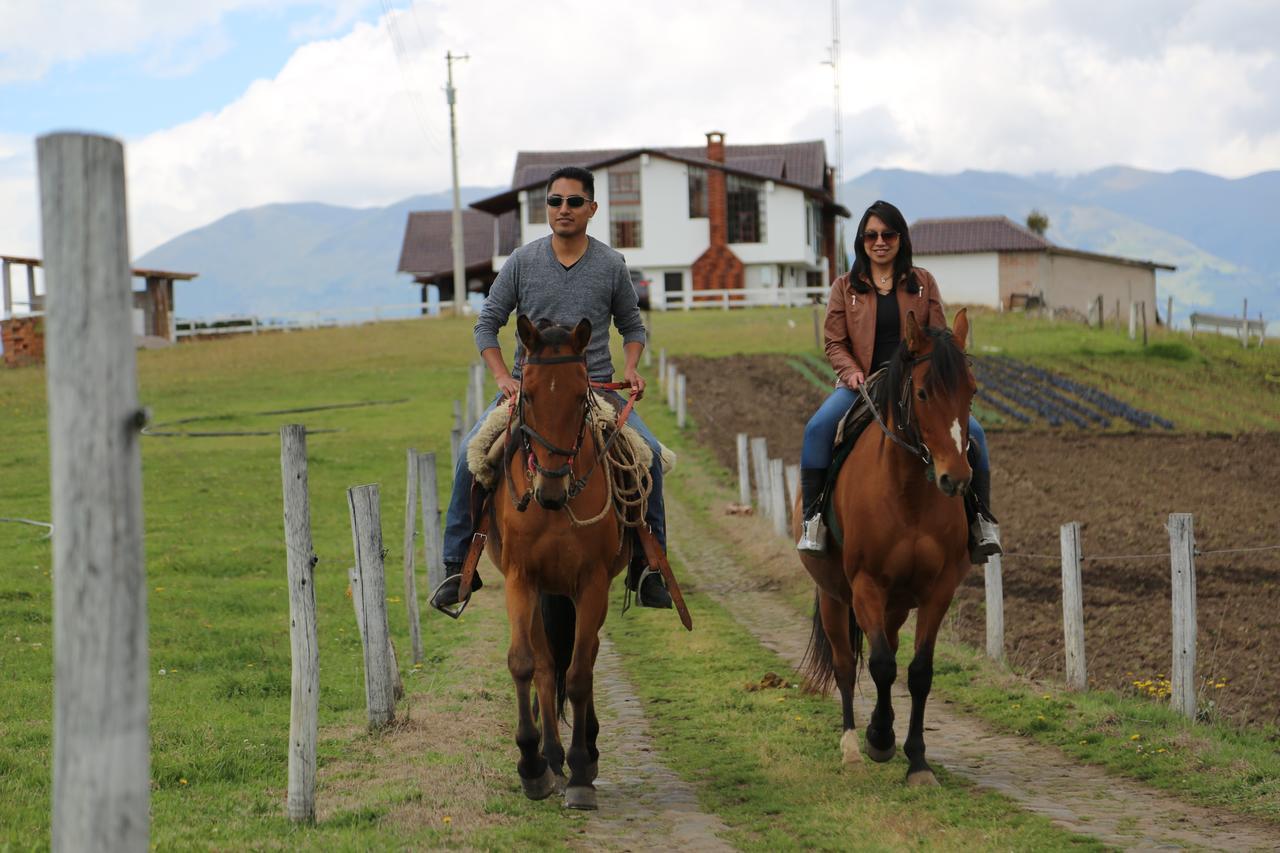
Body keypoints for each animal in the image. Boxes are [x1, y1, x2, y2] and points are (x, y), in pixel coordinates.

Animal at [483, 315, 629, 809]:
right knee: (548, 666)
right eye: (526, 395)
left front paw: (582, 771)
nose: (549, 488)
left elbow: (581, 672)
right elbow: (525, 663)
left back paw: (588, 749)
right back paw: (550, 754)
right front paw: (532, 764)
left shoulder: (593, 584)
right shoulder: (520, 579)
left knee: (584, 657)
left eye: (580, 395)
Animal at [793, 307, 972, 783]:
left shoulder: (938, 590)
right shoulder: (866, 586)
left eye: (972, 391)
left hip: (896, 604)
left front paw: (917, 760)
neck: (908, 494)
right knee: (844, 664)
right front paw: (878, 740)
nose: (956, 477)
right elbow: (880, 664)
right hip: (835, 597)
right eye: (924, 393)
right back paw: (853, 745)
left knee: (886, 647)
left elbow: (918, 671)